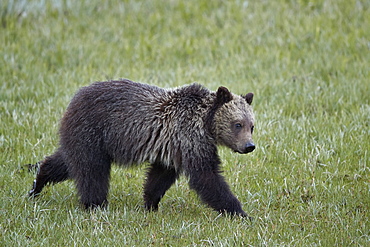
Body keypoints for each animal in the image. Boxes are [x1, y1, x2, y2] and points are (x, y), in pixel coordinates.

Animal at [28, 79, 254, 218]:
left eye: (252, 125)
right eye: (237, 124)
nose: (249, 146)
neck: (205, 122)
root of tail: (74, 98)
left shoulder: (172, 147)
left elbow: (159, 177)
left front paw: (150, 204)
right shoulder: (190, 139)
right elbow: (207, 177)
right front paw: (240, 212)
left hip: (84, 139)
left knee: (66, 162)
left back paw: (38, 183)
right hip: (93, 132)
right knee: (91, 171)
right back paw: (95, 204)